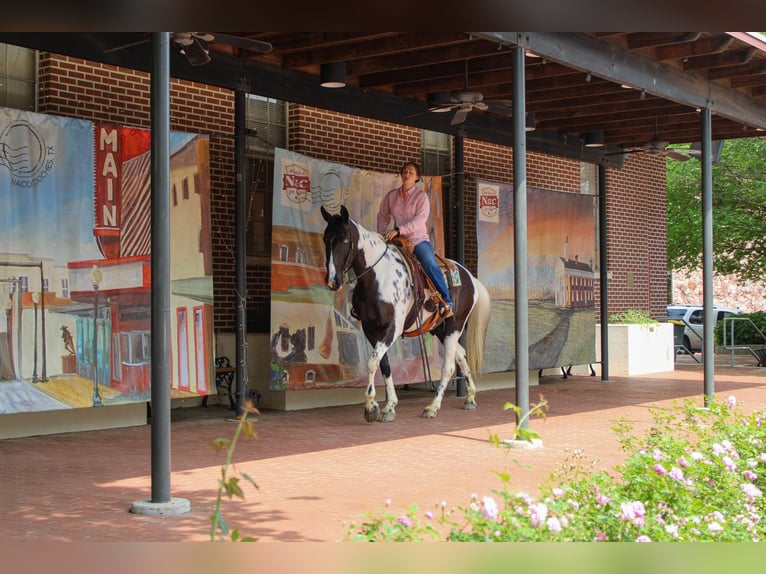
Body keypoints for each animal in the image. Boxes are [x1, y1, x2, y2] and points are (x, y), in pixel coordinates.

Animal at [320, 207, 488, 424]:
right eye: (326, 239)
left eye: (345, 240)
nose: (332, 280)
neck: (377, 276)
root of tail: (470, 277)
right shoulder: (370, 329)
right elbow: (384, 364)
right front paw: (388, 407)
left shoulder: (392, 328)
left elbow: (372, 362)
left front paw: (371, 406)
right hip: (439, 330)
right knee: (460, 355)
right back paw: (470, 398)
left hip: (454, 326)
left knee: (449, 366)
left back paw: (432, 407)